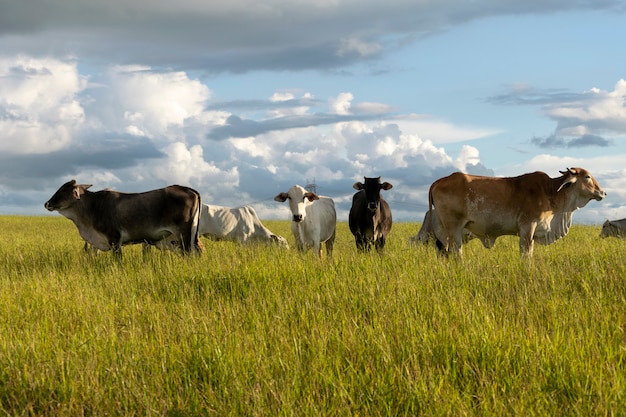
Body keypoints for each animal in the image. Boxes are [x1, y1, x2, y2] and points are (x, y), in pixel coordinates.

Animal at [426, 167, 604, 255]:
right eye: (587, 177)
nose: (602, 192)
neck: (550, 192)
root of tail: (438, 181)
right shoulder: (527, 228)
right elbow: (526, 254)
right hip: (453, 229)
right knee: (456, 252)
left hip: (444, 231)